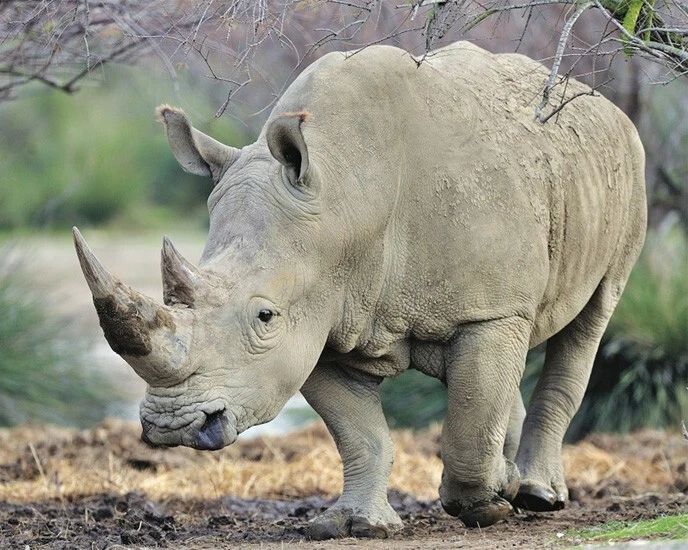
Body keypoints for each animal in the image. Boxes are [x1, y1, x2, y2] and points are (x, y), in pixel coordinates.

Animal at [73, 41, 646, 538]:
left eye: (264, 317)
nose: (172, 426)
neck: (345, 196)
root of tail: (602, 103)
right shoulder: (320, 320)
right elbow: (360, 433)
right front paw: (355, 524)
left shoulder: (489, 309)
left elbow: (468, 418)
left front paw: (483, 506)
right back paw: (510, 478)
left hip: (627, 169)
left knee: (590, 322)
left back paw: (536, 495)